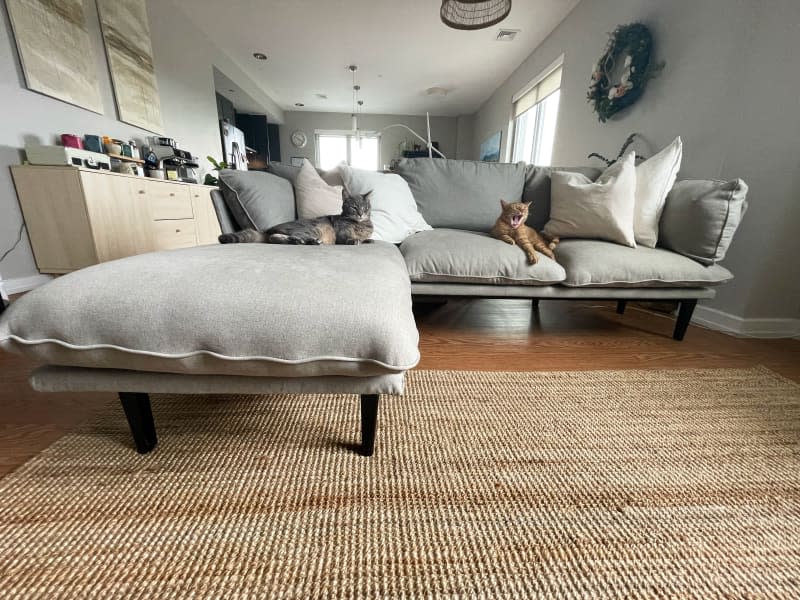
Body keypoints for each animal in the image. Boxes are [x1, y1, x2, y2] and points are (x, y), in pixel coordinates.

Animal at [219, 191, 376, 245]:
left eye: (365, 207)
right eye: (354, 207)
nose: (361, 213)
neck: (361, 224)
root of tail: (267, 230)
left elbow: (365, 238)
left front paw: (367, 240)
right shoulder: (341, 233)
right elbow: (348, 237)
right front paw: (354, 240)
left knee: (273, 238)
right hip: (312, 229)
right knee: (276, 238)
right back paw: (308, 241)